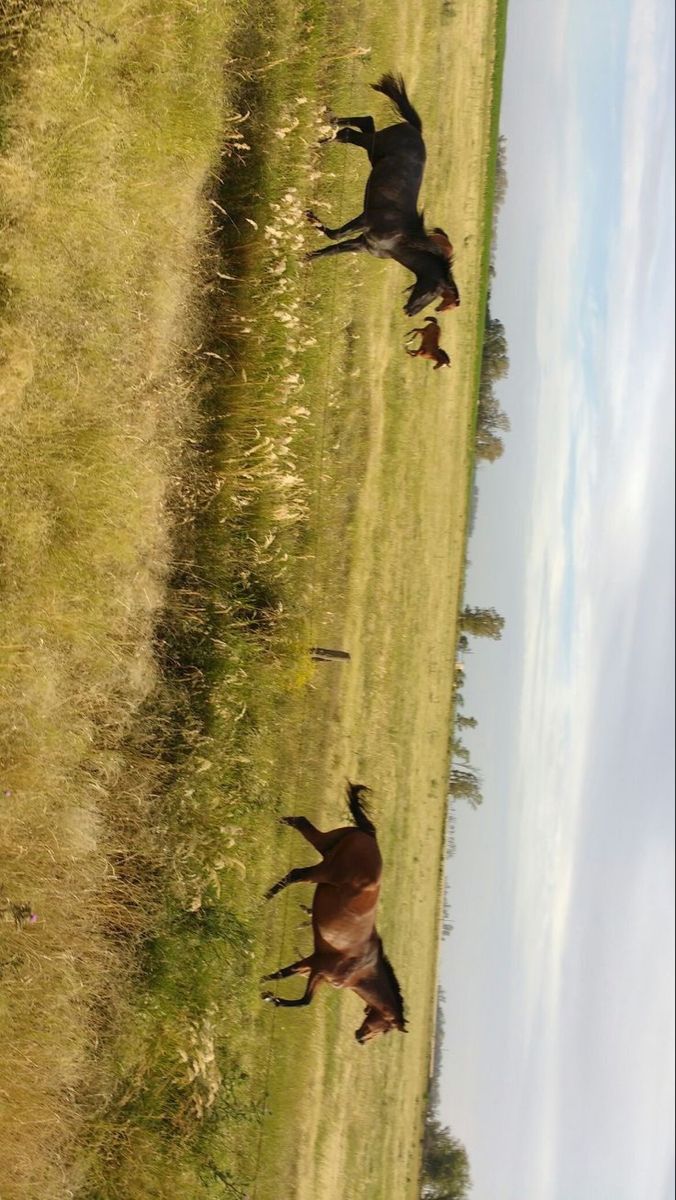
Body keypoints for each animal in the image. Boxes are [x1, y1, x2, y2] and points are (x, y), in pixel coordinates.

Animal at [261, 782, 405, 1046]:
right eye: (386, 1029)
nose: (361, 1039)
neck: (361, 969)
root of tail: (370, 836)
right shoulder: (318, 968)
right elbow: (302, 998)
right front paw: (266, 993)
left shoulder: (311, 965)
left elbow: (287, 976)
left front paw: (263, 985)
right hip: (322, 871)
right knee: (295, 874)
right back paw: (261, 901)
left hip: (324, 844)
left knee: (299, 822)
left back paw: (270, 811)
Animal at [304, 72, 461, 316]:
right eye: (435, 293)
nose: (410, 311)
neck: (397, 240)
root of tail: (416, 129)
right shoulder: (366, 221)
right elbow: (336, 236)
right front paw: (309, 219)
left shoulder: (361, 243)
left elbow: (333, 248)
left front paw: (306, 258)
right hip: (374, 146)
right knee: (350, 133)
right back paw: (322, 135)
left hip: (372, 152)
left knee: (364, 123)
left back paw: (327, 123)